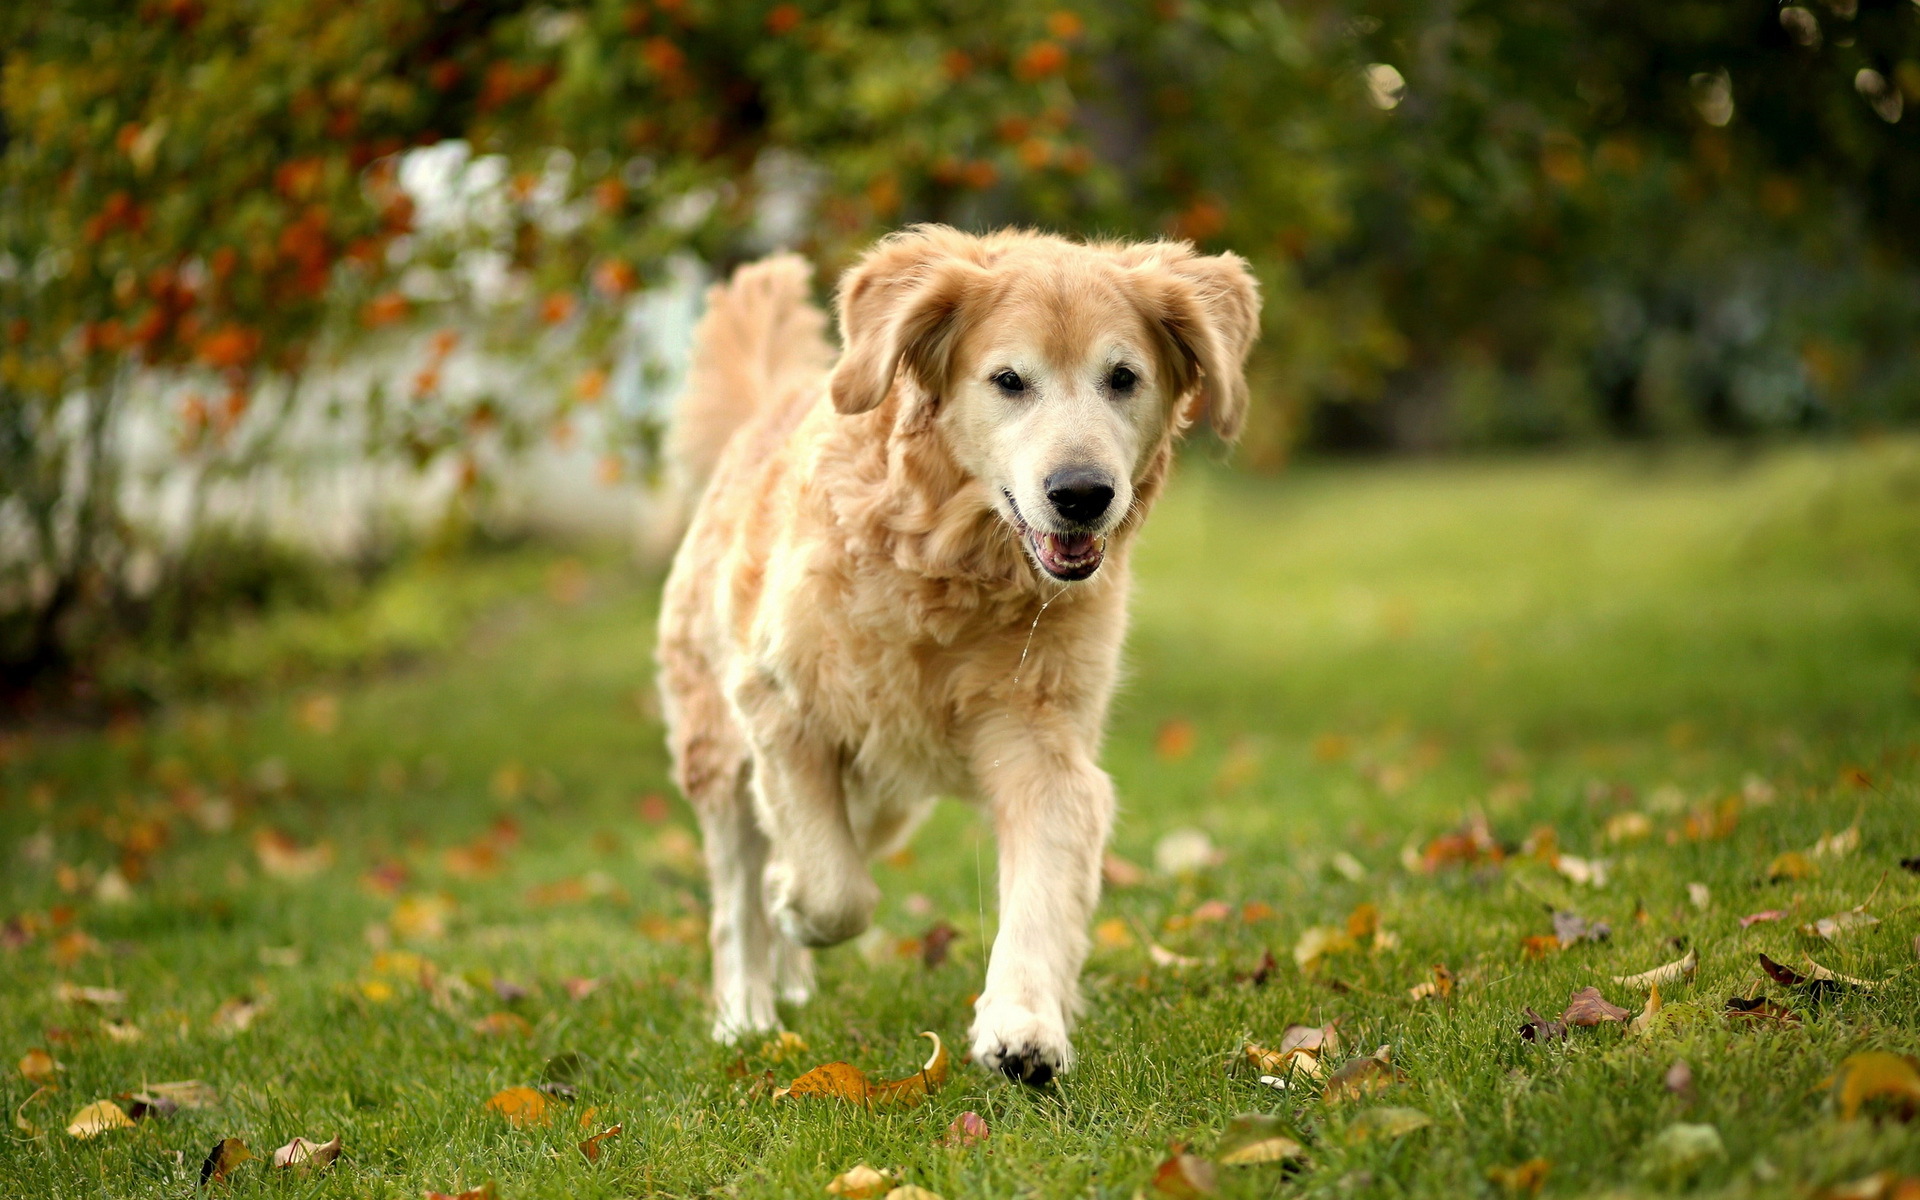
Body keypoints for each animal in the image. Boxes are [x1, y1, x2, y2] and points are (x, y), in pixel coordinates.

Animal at [656, 222, 1259, 1075]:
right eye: (1009, 380)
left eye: (1123, 378)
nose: (1082, 494)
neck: (952, 568)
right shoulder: (781, 709)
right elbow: (832, 890)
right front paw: (795, 910)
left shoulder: (1043, 744)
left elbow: (1040, 891)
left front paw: (1024, 1026)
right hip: (719, 748)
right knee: (740, 894)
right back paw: (746, 1011)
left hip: (886, 802)